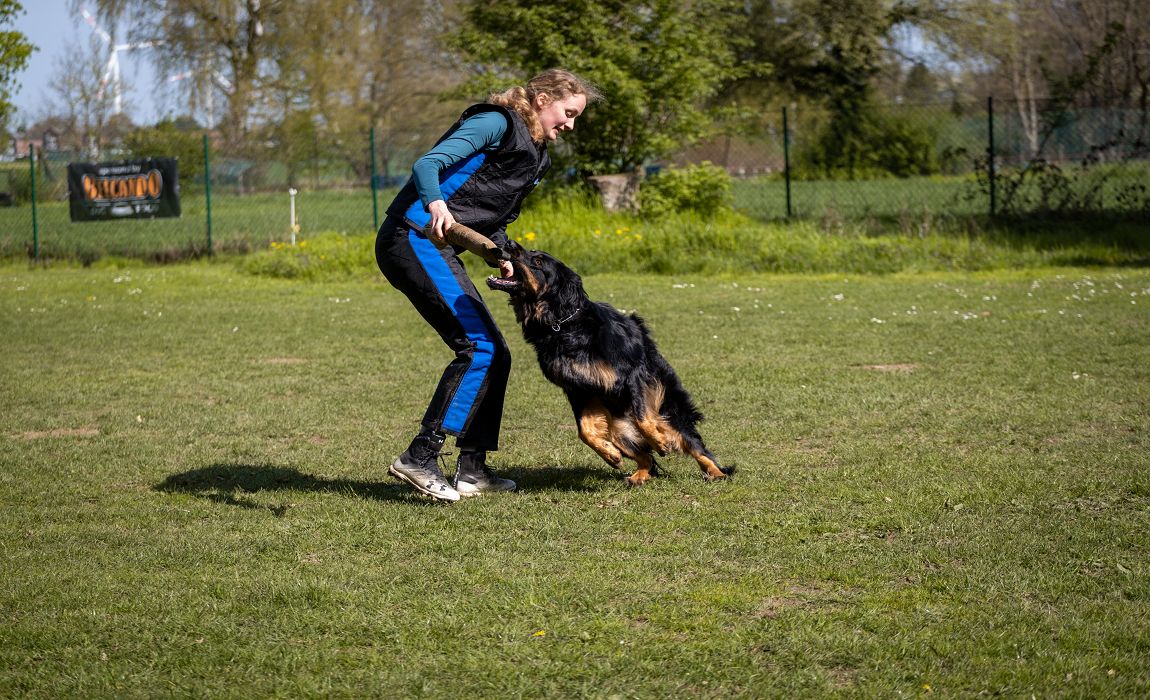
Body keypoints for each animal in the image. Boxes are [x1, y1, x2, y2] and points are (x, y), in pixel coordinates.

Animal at [487, 240, 736, 485]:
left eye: (538, 261)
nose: (509, 243)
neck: (564, 325)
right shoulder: (578, 389)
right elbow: (585, 431)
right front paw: (610, 454)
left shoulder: (634, 375)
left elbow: (644, 418)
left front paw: (659, 441)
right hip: (619, 430)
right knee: (646, 457)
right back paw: (638, 475)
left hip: (671, 414)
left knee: (696, 446)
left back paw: (716, 473)